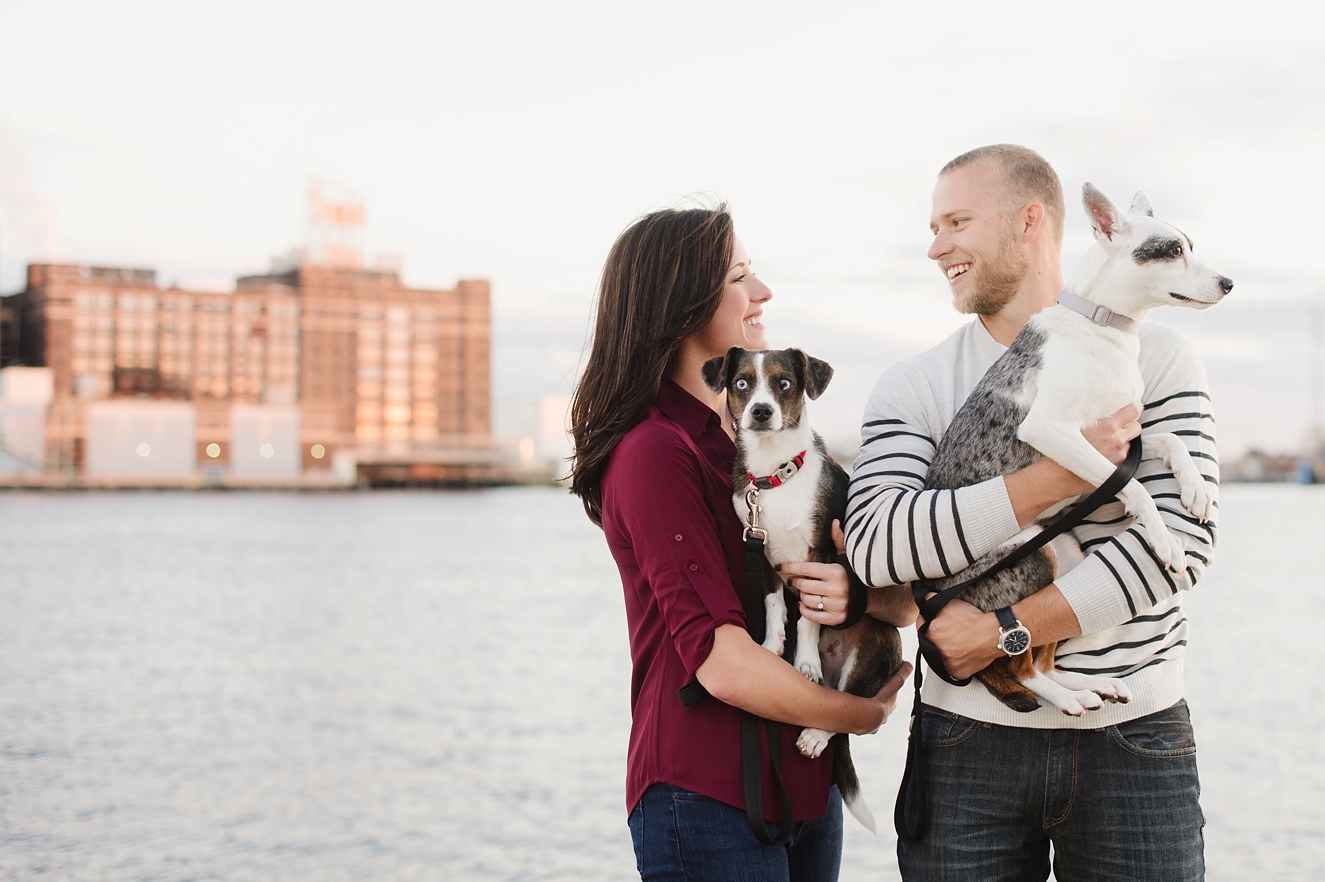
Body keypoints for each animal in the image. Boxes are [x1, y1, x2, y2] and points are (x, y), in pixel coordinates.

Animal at [704, 344, 901, 831]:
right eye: (742, 383)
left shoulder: (819, 555)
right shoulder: (761, 549)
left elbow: (810, 617)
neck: (774, 476)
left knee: (848, 706)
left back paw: (815, 731)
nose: (760, 411)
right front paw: (774, 643)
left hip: (879, 641)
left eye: (784, 383)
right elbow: (776, 604)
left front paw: (805, 660)